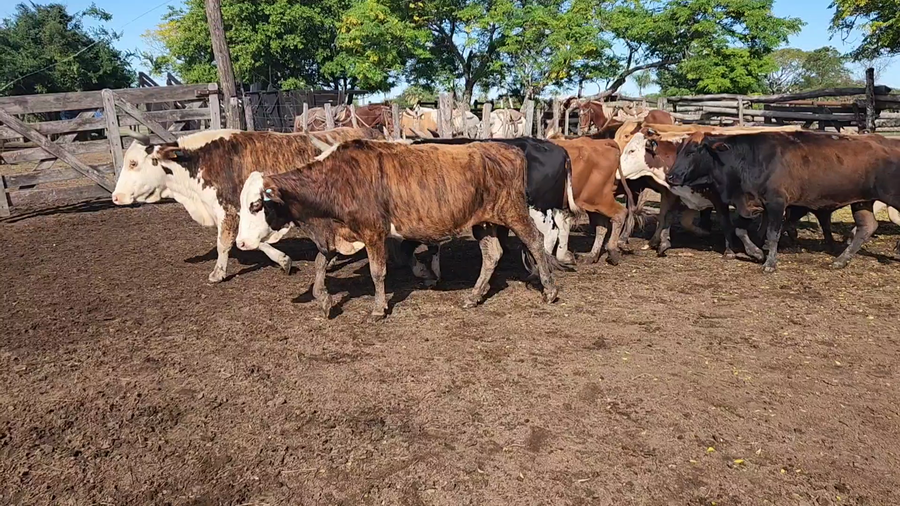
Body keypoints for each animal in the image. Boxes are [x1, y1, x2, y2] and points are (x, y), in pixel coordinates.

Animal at [111, 127, 385, 283]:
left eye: (133, 163)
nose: (115, 197)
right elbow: (254, 242)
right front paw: (283, 260)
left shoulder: (229, 210)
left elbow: (225, 244)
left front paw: (217, 274)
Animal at [235, 140, 559, 319]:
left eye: (256, 205)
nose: (240, 243)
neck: (338, 180)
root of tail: (508, 148)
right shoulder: (340, 233)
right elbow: (318, 263)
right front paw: (324, 299)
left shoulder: (373, 232)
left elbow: (377, 272)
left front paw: (379, 308)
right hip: (484, 222)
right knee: (492, 254)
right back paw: (474, 296)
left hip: (513, 211)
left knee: (535, 241)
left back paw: (550, 290)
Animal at [667, 131, 900, 272]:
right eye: (678, 150)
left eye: (693, 150)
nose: (671, 176)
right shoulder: (753, 204)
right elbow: (740, 229)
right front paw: (756, 252)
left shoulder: (777, 203)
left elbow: (772, 234)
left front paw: (769, 263)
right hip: (862, 201)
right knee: (866, 227)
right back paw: (840, 261)